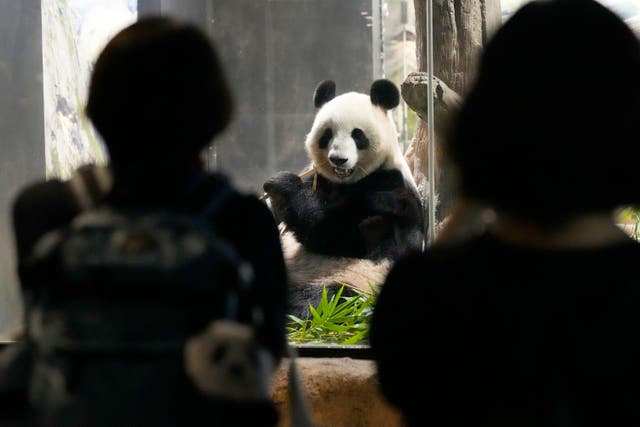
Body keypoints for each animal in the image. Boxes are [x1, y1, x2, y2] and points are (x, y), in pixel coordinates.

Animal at [262, 78, 422, 320]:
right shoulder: (318, 178)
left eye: (358, 135)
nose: (338, 159)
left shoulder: (389, 187)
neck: (346, 182)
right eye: (327, 134)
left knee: (321, 301)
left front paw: (283, 186)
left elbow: (337, 236)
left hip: (356, 282)